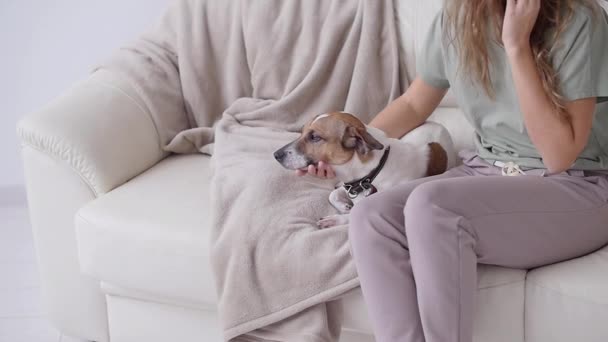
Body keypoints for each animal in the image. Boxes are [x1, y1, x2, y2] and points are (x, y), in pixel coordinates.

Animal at [274, 112, 454, 228]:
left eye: (314, 137)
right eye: (302, 131)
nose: (276, 154)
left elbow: (354, 213)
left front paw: (336, 219)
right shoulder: (349, 186)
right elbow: (333, 195)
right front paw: (344, 206)